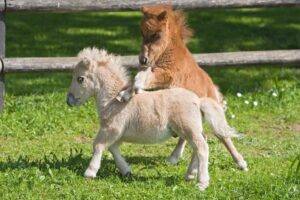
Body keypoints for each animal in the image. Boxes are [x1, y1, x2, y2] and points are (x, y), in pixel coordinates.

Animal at [67, 47, 247, 191]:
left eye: (80, 78)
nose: (69, 101)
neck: (112, 100)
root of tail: (198, 100)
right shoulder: (117, 134)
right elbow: (113, 148)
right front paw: (126, 171)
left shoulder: (110, 129)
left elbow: (98, 145)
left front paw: (90, 172)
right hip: (190, 130)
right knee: (199, 145)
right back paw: (190, 175)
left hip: (188, 128)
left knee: (202, 147)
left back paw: (202, 183)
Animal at [118, 3, 247, 171]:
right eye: (142, 33)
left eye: (157, 35)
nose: (143, 59)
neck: (168, 53)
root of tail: (212, 88)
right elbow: (138, 78)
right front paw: (124, 94)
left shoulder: (168, 75)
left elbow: (142, 78)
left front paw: (135, 89)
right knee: (193, 136)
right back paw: (175, 158)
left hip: (211, 113)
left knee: (221, 135)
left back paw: (241, 163)